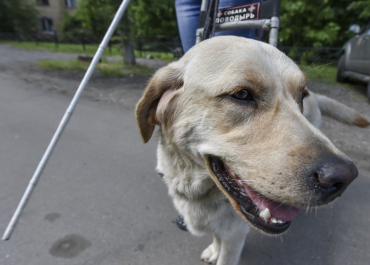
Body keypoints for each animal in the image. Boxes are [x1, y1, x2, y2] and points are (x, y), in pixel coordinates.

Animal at [136, 36, 370, 264]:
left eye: (301, 96)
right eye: (241, 94)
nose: (344, 177)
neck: (199, 191)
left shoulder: (235, 237)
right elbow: (217, 236)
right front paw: (214, 249)